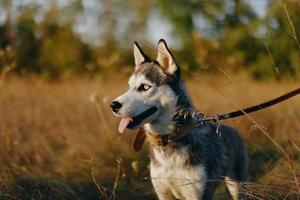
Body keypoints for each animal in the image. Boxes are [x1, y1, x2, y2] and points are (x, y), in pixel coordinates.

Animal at [111, 39, 247, 200]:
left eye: (145, 87)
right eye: (129, 86)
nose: (113, 105)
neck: (169, 139)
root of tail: (232, 129)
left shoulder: (198, 193)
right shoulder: (163, 193)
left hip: (238, 186)